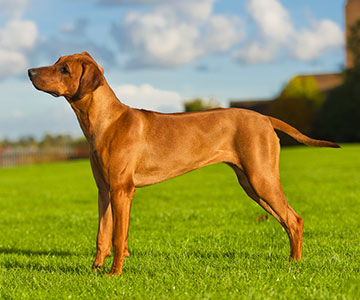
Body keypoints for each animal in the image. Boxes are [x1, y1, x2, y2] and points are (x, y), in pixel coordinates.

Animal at [28, 51, 340, 274]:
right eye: (56, 61)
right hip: (252, 184)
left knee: (294, 219)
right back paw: (291, 260)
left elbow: (117, 237)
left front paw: (114, 274)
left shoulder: (121, 190)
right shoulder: (104, 190)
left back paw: (295, 265)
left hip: (261, 178)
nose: (30, 71)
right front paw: (96, 270)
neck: (106, 121)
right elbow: (103, 235)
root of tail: (264, 117)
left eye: (64, 69)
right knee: (286, 220)